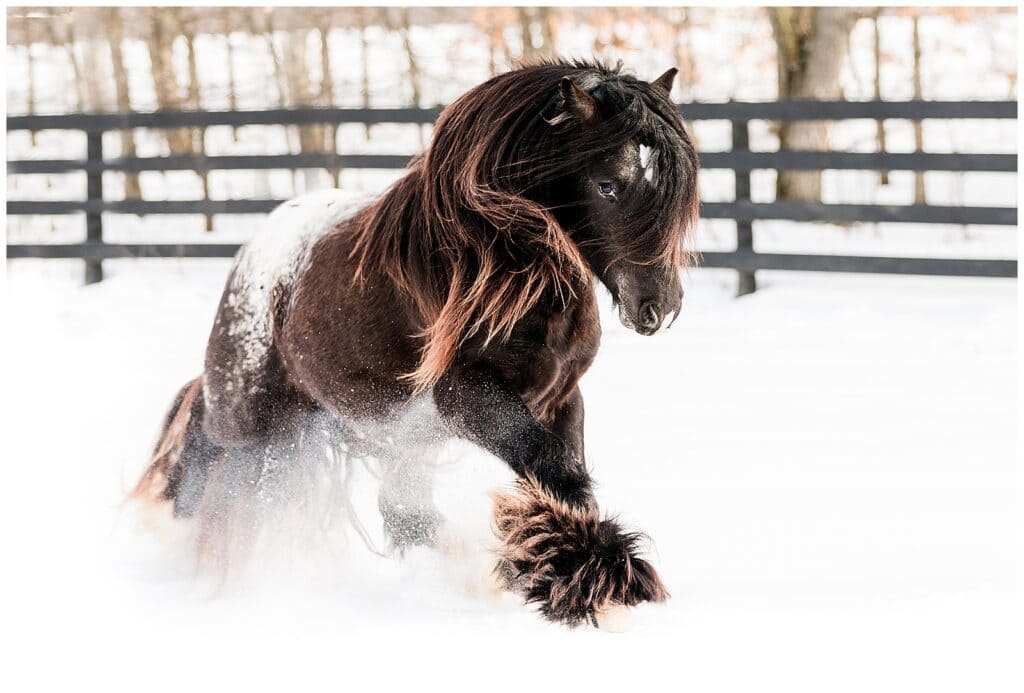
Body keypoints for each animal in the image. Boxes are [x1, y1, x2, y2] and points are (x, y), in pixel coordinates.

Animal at [132, 60, 700, 626]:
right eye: (607, 186)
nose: (659, 307)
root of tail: (251, 254)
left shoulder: (561, 396)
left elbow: (565, 475)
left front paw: (568, 571)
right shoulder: (463, 396)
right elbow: (550, 464)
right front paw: (584, 575)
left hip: (388, 438)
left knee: (404, 514)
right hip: (257, 433)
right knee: (225, 502)